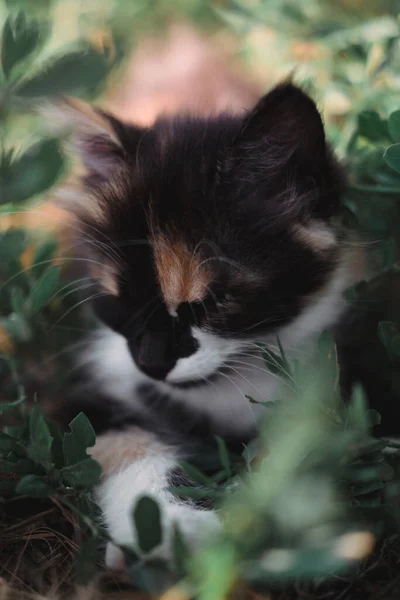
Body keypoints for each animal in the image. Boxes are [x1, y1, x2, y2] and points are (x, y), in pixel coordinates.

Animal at [54, 83, 358, 568]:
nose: (152, 363)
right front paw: (173, 526)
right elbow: (127, 443)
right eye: (120, 301)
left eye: (211, 302)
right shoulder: (92, 395)